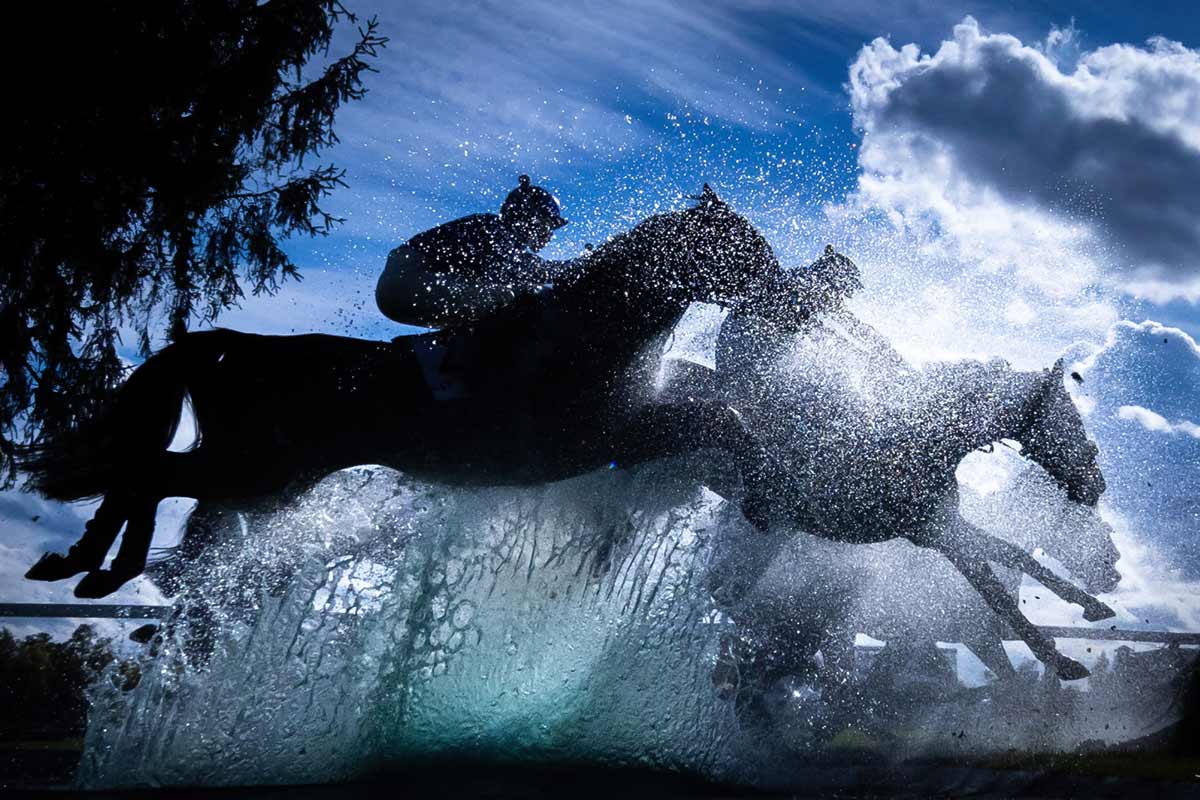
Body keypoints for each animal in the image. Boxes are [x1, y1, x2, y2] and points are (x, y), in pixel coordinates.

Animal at [22, 186, 800, 599]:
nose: (789, 297)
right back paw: (101, 567)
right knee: (148, 473)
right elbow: (721, 419)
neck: (590, 335)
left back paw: (83, 563)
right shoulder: (599, 438)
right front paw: (763, 493)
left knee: (141, 474)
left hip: (264, 479)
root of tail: (232, 344)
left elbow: (712, 417)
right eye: (745, 246)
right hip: (257, 470)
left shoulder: (621, 435)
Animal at [660, 290, 1119, 681]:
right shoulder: (941, 537)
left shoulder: (942, 524)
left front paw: (1093, 607)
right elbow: (995, 593)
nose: (1095, 484)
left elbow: (1014, 553)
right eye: (1069, 417)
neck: (921, 439)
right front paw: (1061, 661)